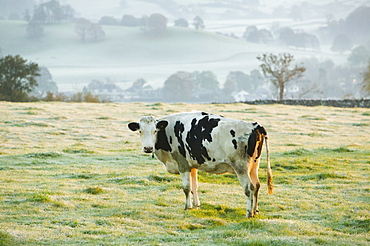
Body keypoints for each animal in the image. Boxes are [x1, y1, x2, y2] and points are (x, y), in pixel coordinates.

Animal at [129, 111, 274, 217]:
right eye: (140, 131)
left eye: (155, 131)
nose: (148, 148)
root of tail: (254, 125)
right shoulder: (192, 166)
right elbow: (195, 187)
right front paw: (196, 205)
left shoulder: (183, 165)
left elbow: (186, 188)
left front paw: (187, 207)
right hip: (254, 165)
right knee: (256, 186)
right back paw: (255, 210)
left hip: (241, 167)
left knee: (249, 188)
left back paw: (249, 213)